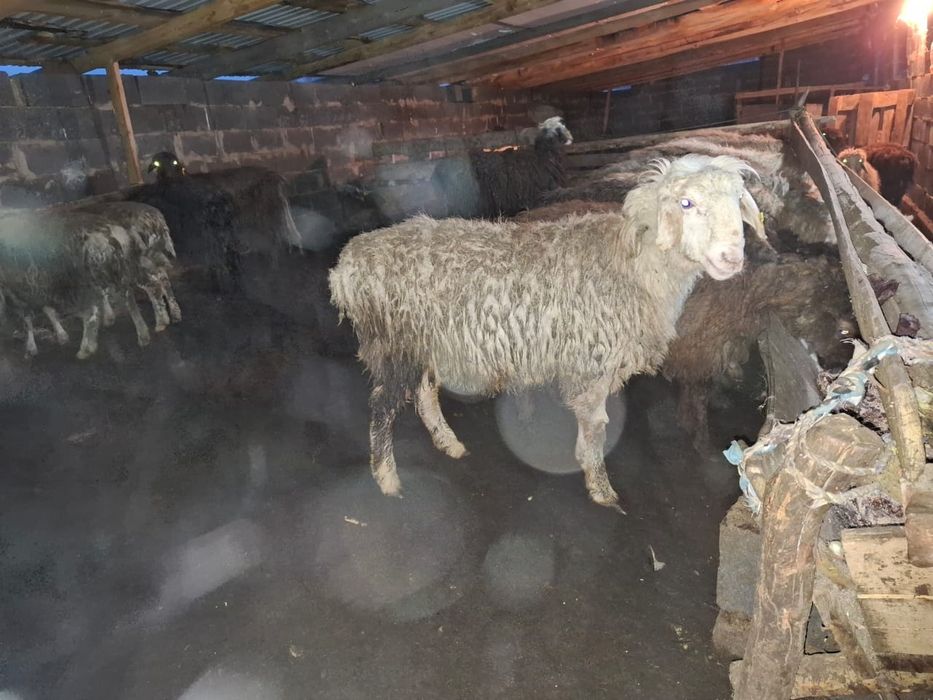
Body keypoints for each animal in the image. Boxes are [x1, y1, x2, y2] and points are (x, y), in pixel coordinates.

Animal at [329, 154, 765, 510]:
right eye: (685, 203)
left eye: (737, 201)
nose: (731, 258)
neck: (634, 267)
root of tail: (348, 263)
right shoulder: (591, 366)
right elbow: (596, 427)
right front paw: (602, 490)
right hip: (393, 342)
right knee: (383, 407)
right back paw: (387, 478)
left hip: (426, 342)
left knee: (423, 392)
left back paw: (448, 443)